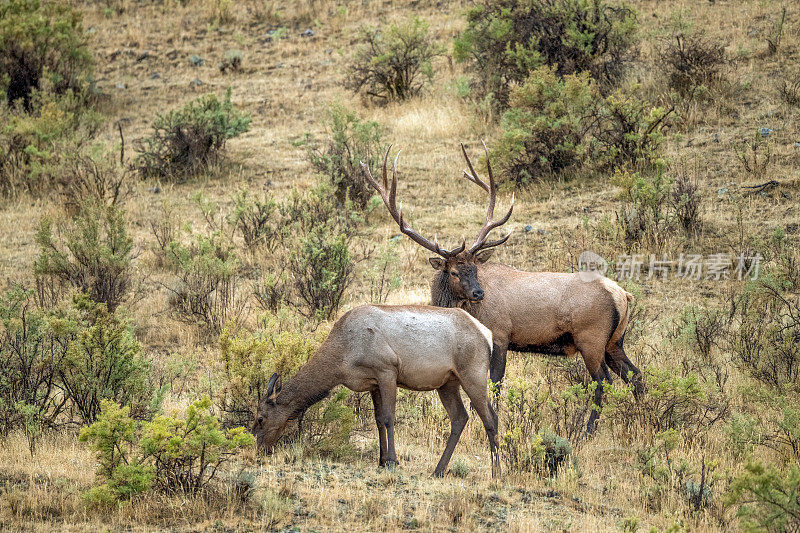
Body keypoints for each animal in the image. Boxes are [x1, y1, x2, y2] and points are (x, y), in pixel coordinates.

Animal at [253, 304, 500, 478]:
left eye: (261, 418)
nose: (257, 448)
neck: (342, 360)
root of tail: (487, 335)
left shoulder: (387, 370)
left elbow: (390, 418)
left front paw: (392, 461)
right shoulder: (372, 383)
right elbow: (379, 419)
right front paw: (381, 460)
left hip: (473, 374)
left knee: (490, 418)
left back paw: (496, 471)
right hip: (447, 383)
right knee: (460, 417)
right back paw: (438, 470)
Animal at [360, 142, 644, 432]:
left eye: (475, 269)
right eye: (454, 271)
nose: (478, 293)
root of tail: (623, 295)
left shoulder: (499, 333)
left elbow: (494, 382)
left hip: (591, 337)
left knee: (604, 381)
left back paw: (588, 429)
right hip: (615, 341)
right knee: (636, 375)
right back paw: (644, 415)